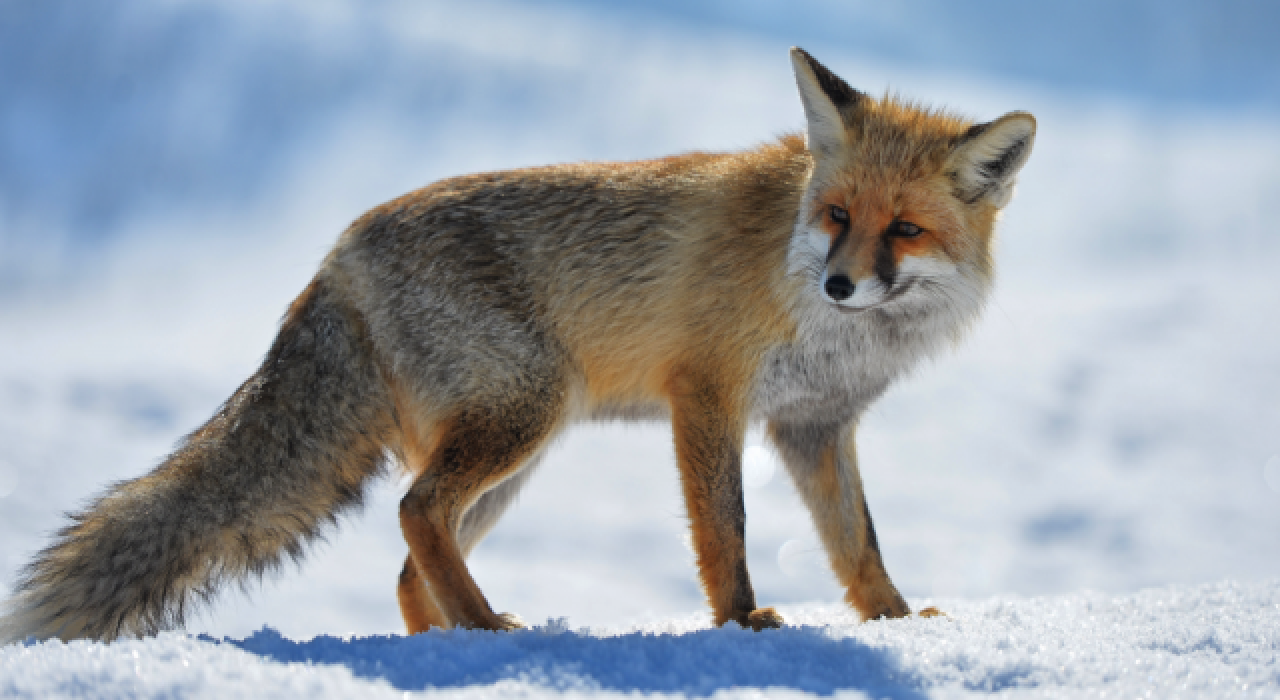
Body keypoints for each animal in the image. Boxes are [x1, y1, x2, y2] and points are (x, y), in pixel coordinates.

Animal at [0, 46, 1029, 644]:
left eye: (904, 231)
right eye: (839, 215)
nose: (838, 285)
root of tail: (338, 252)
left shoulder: (813, 426)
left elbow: (859, 543)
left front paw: (902, 623)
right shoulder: (706, 394)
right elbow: (726, 531)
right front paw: (742, 624)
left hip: (511, 458)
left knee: (410, 565)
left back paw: (454, 644)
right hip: (524, 418)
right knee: (414, 514)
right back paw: (491, 628)